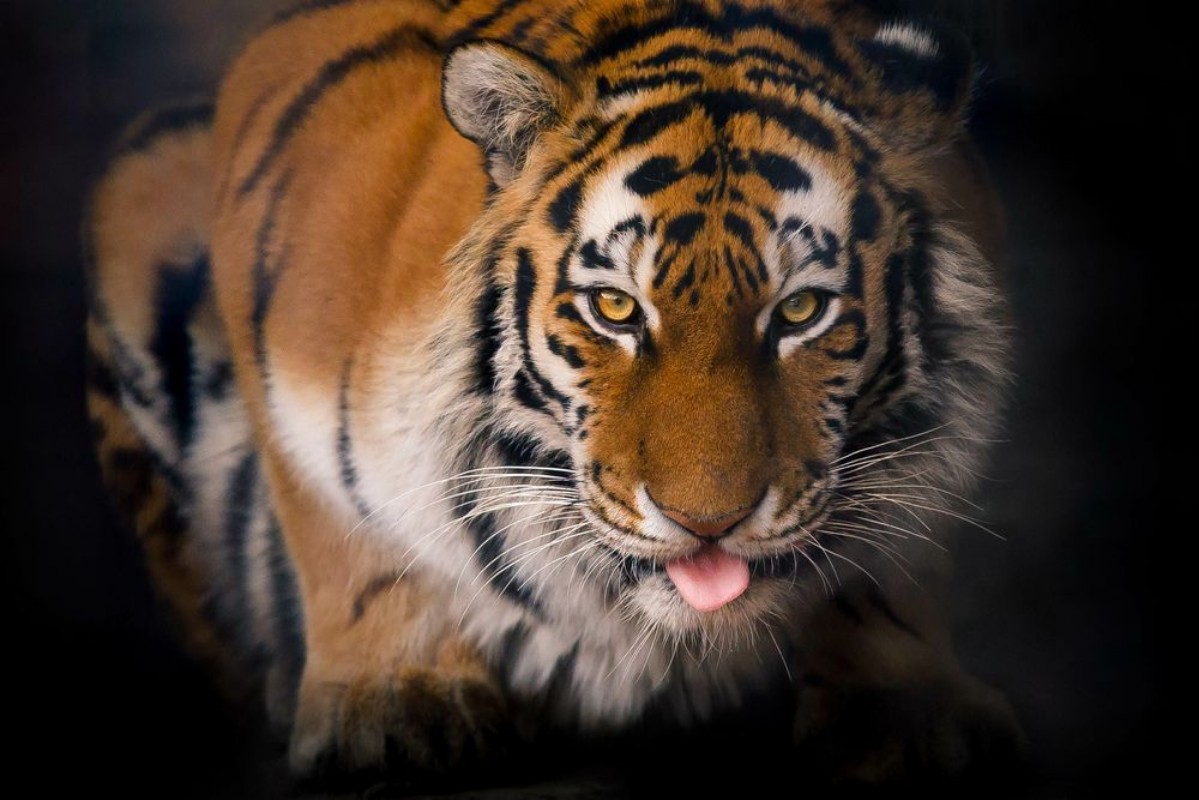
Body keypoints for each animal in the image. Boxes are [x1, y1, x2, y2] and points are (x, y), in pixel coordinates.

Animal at [85, 0, 1022, 785]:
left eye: (799, 310)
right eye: (614, 307)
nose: (707, 524)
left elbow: (898, 550)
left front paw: (903, 709)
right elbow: (343, 523)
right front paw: (398, 700)